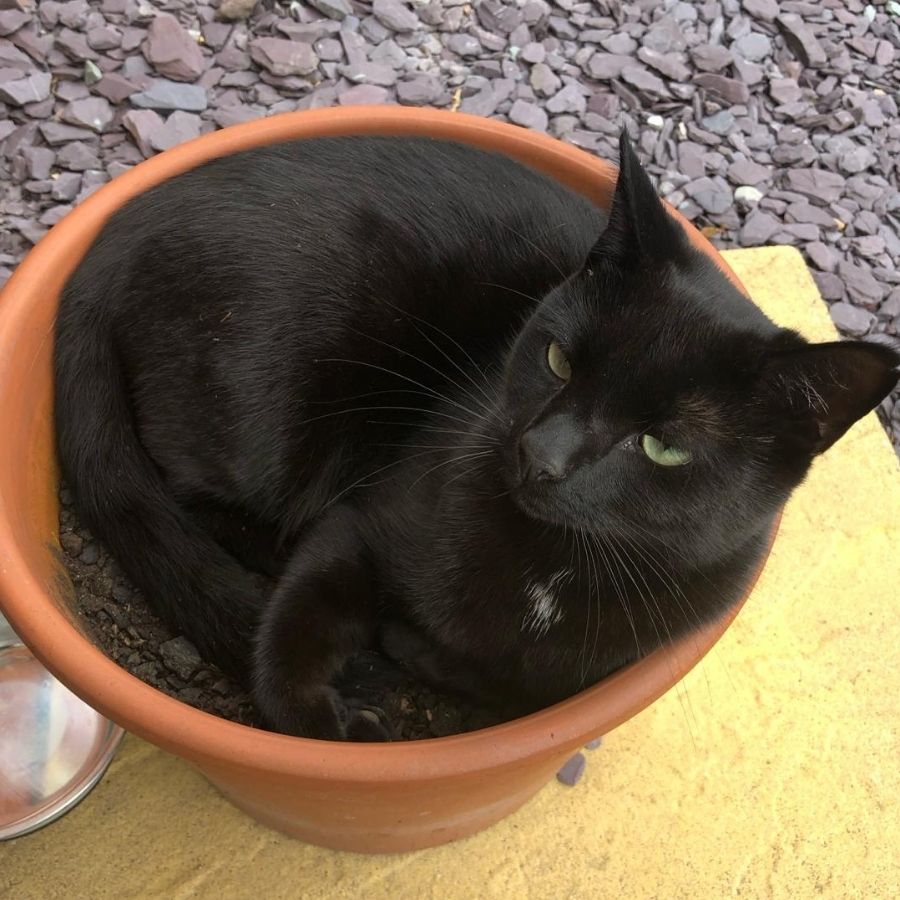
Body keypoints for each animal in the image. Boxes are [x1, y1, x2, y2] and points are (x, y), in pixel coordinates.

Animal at [54, 132, 900, 740]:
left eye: (663, 445)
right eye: (559, 359)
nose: (541, 452)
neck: (550, 569)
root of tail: (113, 232)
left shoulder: (595, 666)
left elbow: (510, 681)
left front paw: (410, 650)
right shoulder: (361, 526)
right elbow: (289, 632)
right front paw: (332, 718)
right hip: (271, 420)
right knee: (186, 496)